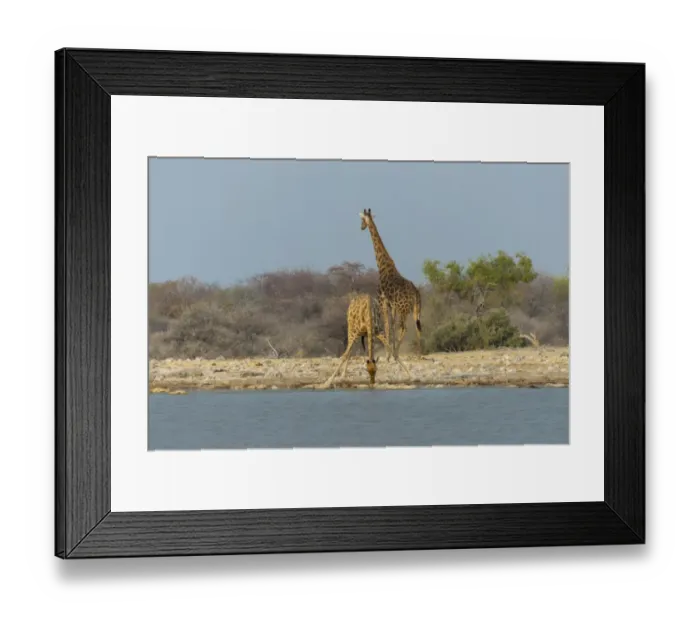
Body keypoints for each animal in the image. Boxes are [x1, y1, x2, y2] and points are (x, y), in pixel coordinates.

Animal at [359, 208, 422, 370]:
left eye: (362, 219)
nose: (361, 227)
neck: (383, 267)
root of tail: (416, 293)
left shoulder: (383, 301)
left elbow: (387, 326)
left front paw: (388, 355)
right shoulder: (391, 305)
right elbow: (391, 326)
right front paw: (390, 352)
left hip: (403, 308)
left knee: (404, 327)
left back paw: (397, 354)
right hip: (414, 308)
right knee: (417, 326)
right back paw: (420, 352)